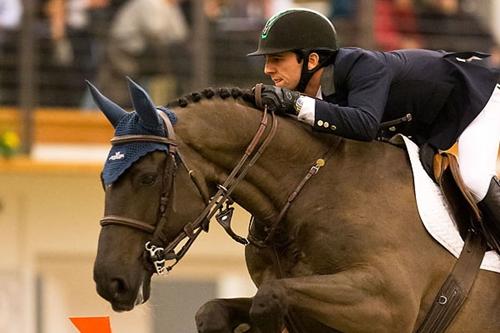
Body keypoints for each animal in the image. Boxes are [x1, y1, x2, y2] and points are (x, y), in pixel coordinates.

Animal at [91, 78, 500, 332]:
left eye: (147, 177)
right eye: (103, 180)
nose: (110, 282)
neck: (312, 189)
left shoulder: (388, 303)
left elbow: (270, 298)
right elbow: (214, 310)